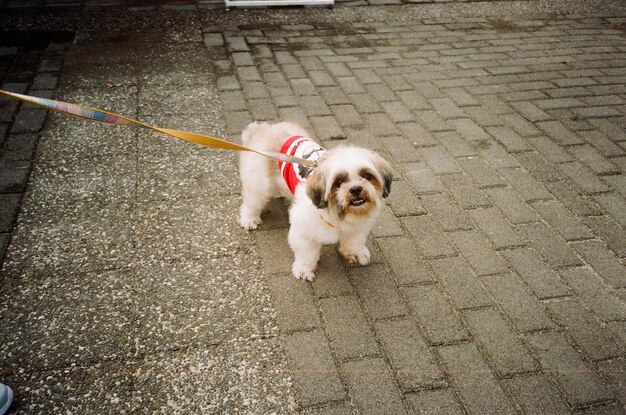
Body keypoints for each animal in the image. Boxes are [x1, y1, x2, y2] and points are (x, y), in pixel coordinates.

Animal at [238, 122, 390, 282]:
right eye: (338, 182)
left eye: (367, 176)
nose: (355, 189)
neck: (337, 215)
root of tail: (261, 129)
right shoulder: (303, 232)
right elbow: (305, 253)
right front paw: (304, 269)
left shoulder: (358, 227)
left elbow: (354, 240)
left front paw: (355, 252)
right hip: (259, 184)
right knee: (252, 202)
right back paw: (249, 219)